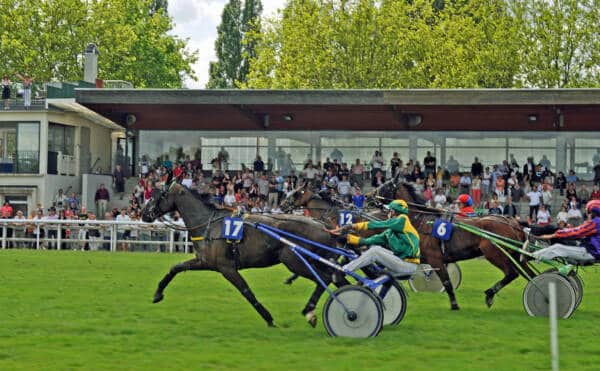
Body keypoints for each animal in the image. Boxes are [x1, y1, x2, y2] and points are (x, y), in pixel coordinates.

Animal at [141, 185, 346, 326]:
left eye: (158, 195)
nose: (144, 214)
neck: (209, 224)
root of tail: (324, 226)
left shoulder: (227, 268)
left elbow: (247, 291)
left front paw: (269, 318)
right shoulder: (204, 261)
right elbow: (175, 267)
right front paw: (158, 293)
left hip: (295, 261)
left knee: (325, 278)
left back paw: (311, 311)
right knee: (337, 278)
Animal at [372, 180, 536, 310]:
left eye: (384, 186)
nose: (369, 196)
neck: (422, 221)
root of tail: (512, 222)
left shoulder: (435, 258)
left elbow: (447, 282)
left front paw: (454, 305)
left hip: (493, 253)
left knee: (511, 273)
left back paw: (490, 294)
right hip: (515, 256)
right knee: (530, 275)